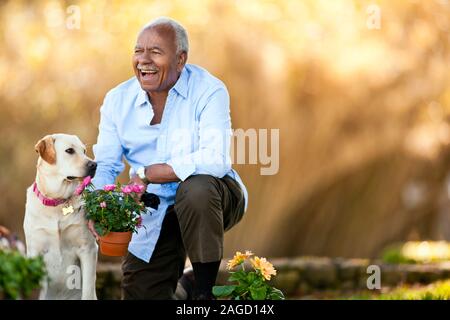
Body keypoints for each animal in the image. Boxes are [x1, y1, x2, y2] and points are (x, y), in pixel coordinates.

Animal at [24, 134, 98, 298]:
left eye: (84, 151)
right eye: (69, 150)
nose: (94, 165)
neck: (57, 202)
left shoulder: (88, 249)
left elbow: (88, 290)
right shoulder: (35, 251)